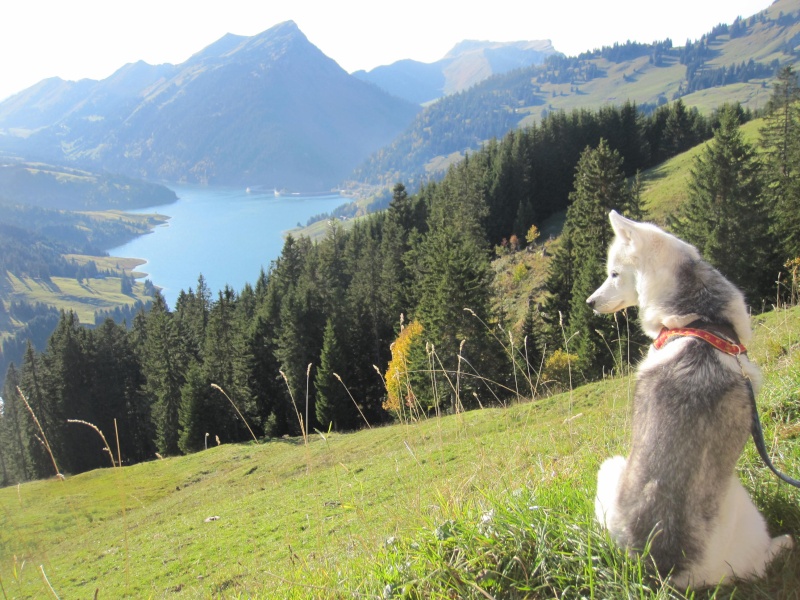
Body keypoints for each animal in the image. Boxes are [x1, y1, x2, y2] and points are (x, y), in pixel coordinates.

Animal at [588, 210, 792, 584]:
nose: (589, 302)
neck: (699, 317)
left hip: (611, 470)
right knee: (759, 565)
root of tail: (665, 569)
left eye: (614, 273)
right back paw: (783, 543)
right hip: (740, 505)